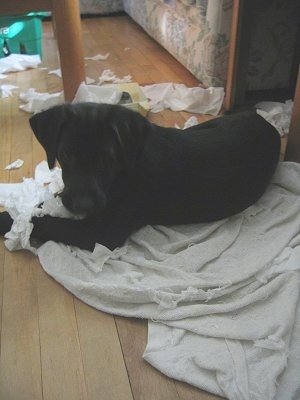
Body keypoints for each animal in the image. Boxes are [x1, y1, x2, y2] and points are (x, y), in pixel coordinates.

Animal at [0, 104, 282, 252]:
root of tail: (266, 123)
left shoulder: (103, 232)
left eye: (107, 158)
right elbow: (39, 209)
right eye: (66, 154)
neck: (121, 173)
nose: (82, 205)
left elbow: (46, 221)